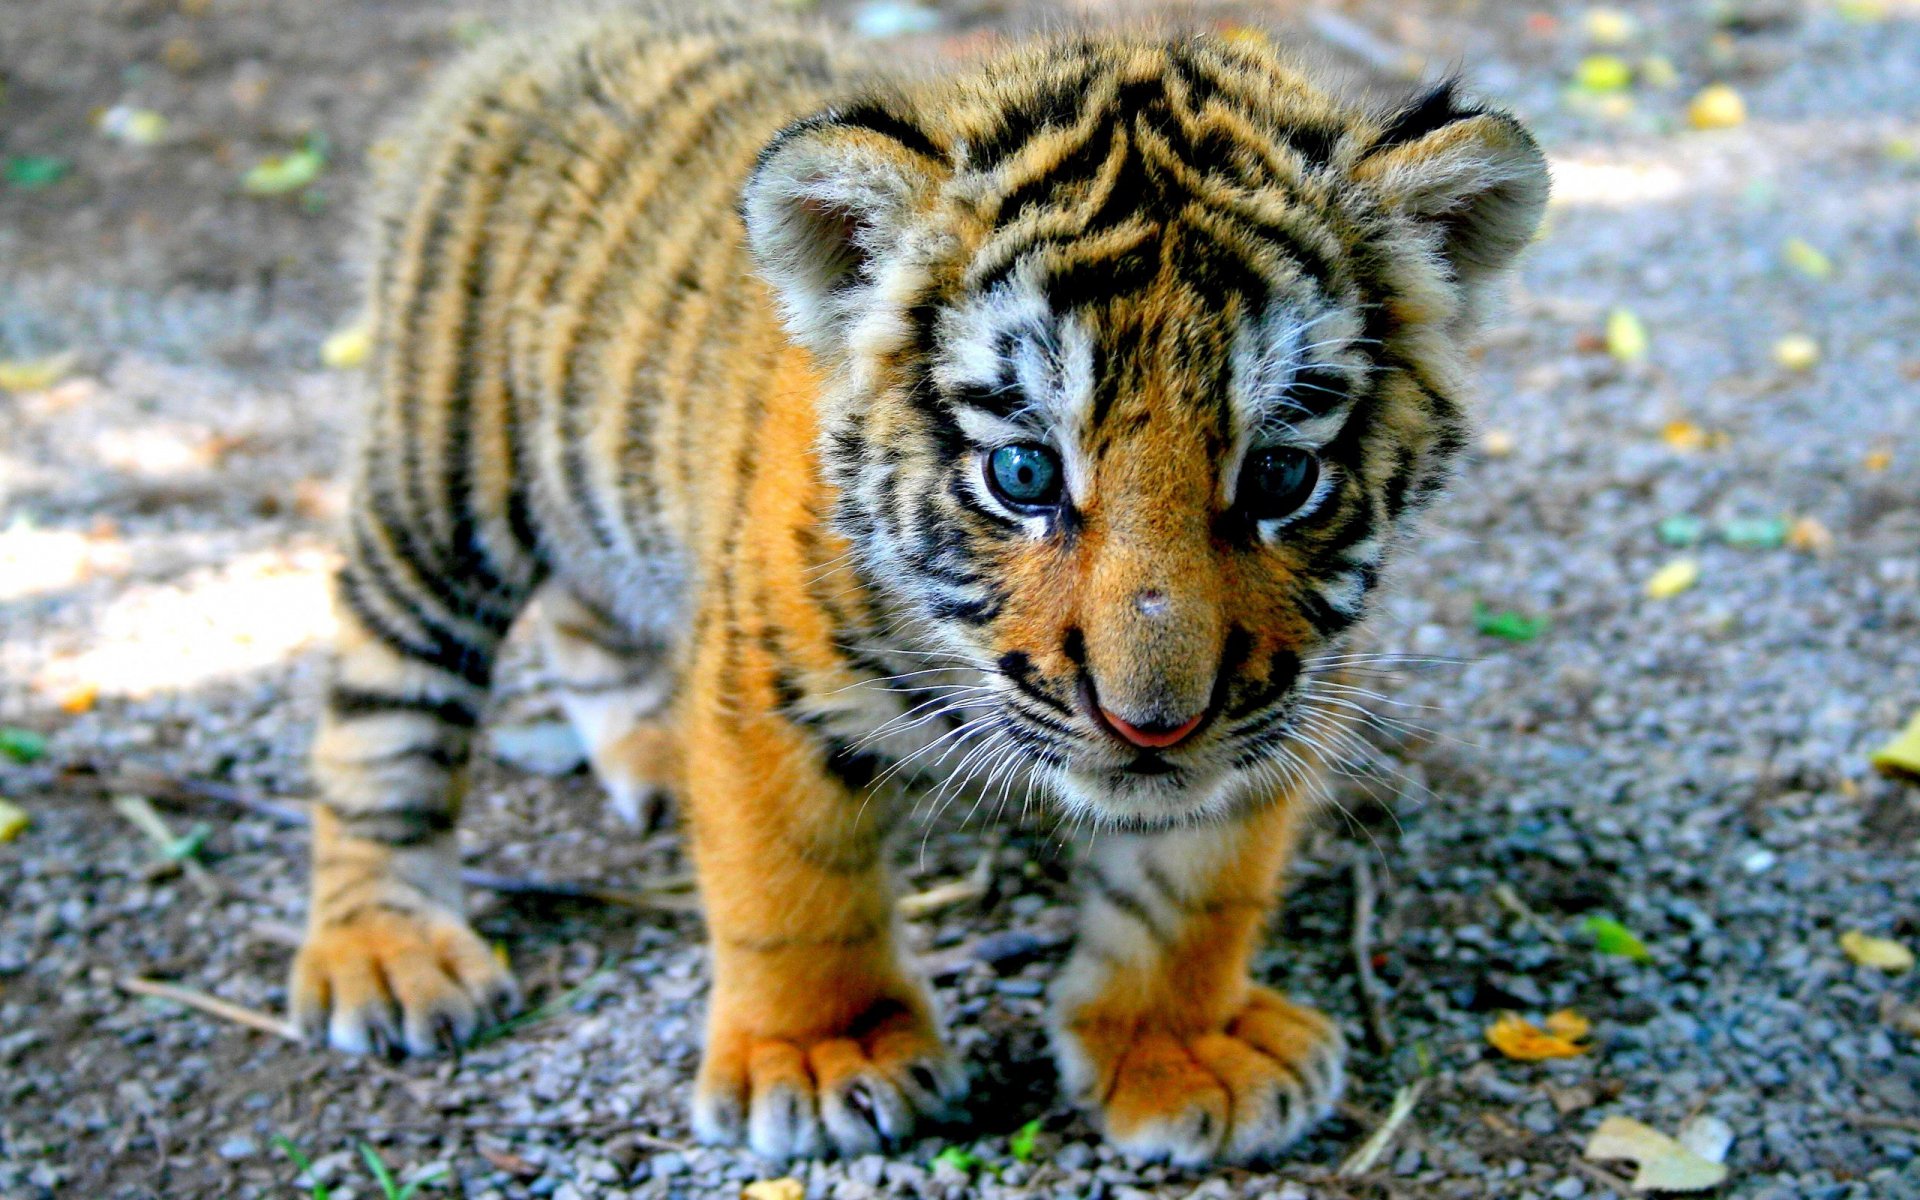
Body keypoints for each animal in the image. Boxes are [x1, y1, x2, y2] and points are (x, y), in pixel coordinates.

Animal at [289, 2, 1546, 1165]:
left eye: (1282, 475)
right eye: (1023, 472)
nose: (1152, 726)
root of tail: (545, 36)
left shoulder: (1283, 696)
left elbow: (1196, 887)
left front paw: (1180, 1047)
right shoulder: (768, 681)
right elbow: (793, 885)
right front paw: (821, 1055)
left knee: (587, 619)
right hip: (440, 486)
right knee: (381, 712)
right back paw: (386, 950)